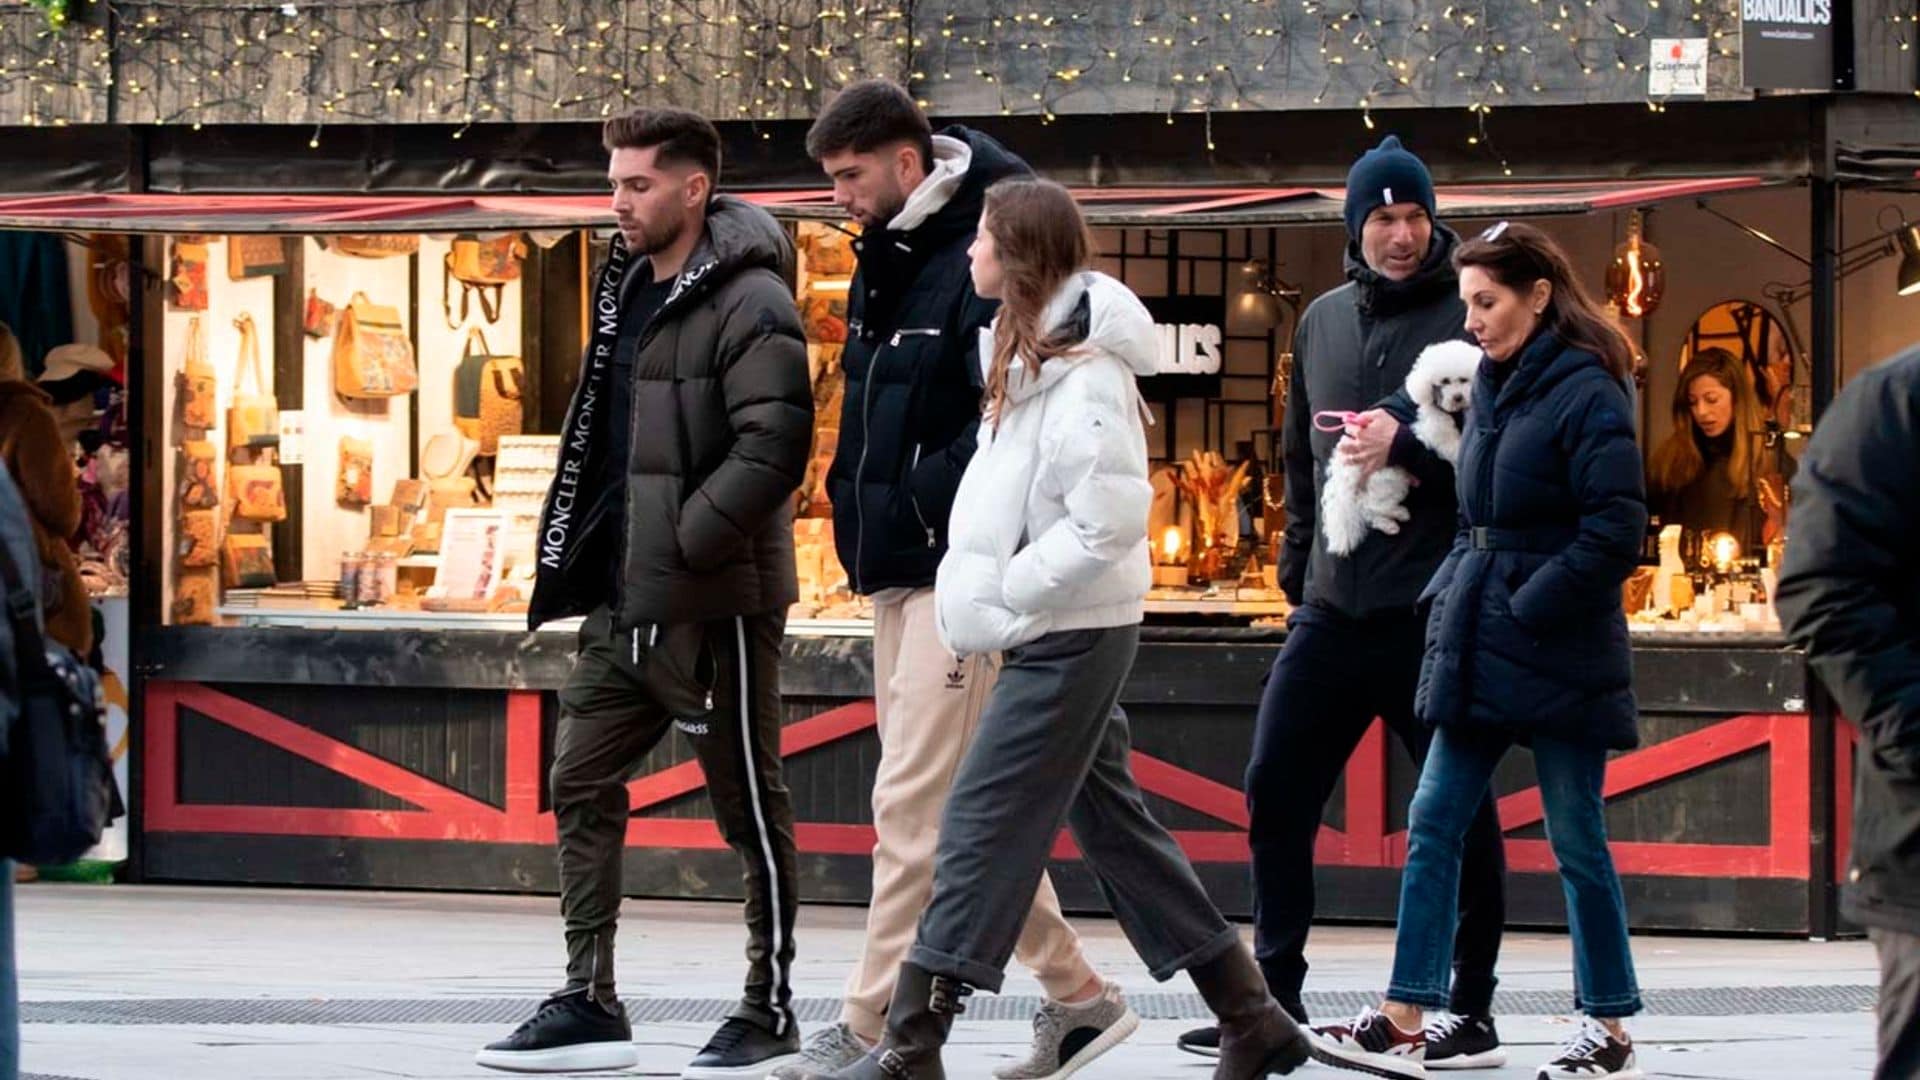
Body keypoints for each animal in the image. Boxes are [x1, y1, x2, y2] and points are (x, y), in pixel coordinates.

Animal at [1320, 338, 1482, 553]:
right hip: (1390, 477)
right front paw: (1459, 461)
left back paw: (1389, 522)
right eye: (1445, 381)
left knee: (1368, 508)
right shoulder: (1432, 425)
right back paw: (1396, 515)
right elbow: (1450, 442)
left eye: (1463, 380)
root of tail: (1345, 475)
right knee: (1371, 505)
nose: (1458, 397)